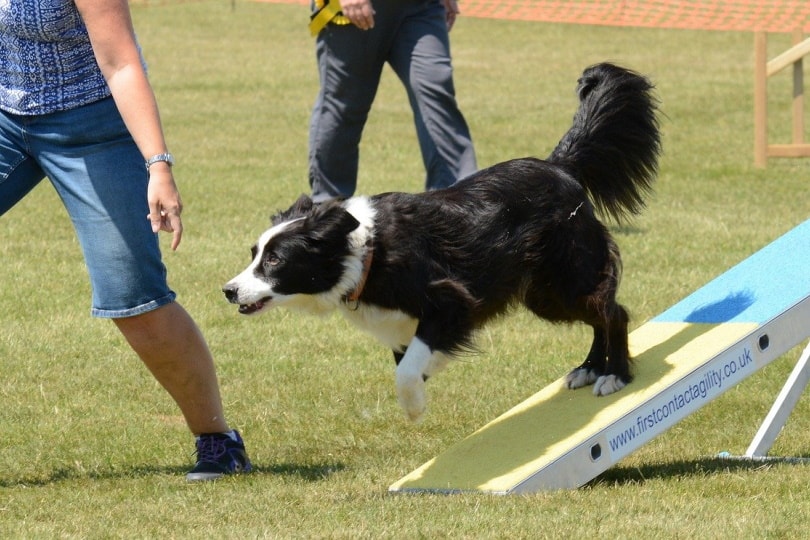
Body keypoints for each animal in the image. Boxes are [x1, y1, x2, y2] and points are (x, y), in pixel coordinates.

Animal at [221, 63, 656, 424]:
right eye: (255, 254)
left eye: (275, 260)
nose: (228, 290)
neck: (366, 253)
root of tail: (559, 167)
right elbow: (409, 358)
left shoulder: (452, 300)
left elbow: (407, 368)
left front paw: (413, 406)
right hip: (543, 294)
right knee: (598, 314)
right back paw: (590, 367)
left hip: (563, 277)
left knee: (613, 311)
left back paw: (613, 374)